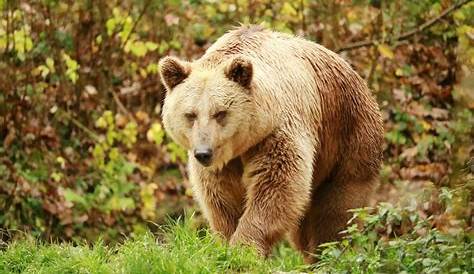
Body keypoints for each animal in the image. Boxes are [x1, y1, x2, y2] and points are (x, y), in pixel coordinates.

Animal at [159, 24, 386, 262]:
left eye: (220, 113)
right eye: (190, 114)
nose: (204, 153)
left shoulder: (275, 133)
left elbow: (277, 187)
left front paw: (244, 249)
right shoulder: (224, 163)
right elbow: (222, 198)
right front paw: (227, 243)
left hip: (348, 137)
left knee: (338, 209)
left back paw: (327, 255)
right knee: (303, 229)